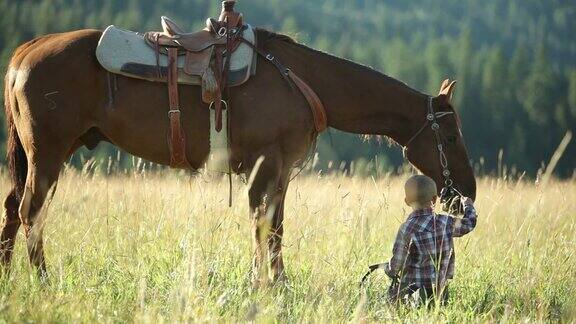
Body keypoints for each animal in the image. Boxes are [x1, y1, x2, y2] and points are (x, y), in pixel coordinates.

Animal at [2, 27, 474, 286]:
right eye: (450, 136)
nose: (466, 191)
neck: (303, 80)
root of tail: (26, 52)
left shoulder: (281, 171)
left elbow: (276, 227)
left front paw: (279, 283)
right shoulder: (265, 164)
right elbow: (261, 223)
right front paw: (260, 283)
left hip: (38, 155)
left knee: (12, 207)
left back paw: (9, 278)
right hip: (48, 153)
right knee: (30, 211)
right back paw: (43, 281)